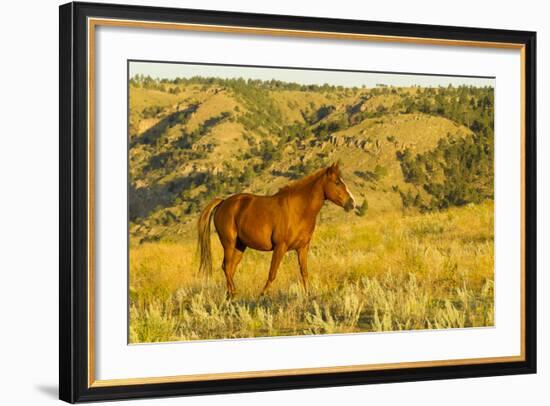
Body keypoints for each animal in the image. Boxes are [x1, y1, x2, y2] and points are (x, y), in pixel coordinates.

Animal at [198, 163, 358, 298]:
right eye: (337, 183)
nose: (352, 203)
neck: (298, 210)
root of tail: (223, 202)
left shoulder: (302, 248)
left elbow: (304, 272)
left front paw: (308, 295)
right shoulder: (280, 247)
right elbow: (272, 273)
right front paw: (263, 294)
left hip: (240, 246)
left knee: (230, 268)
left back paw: (230, 295)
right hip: (229, 244)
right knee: (226, 267)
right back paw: (234, 293)